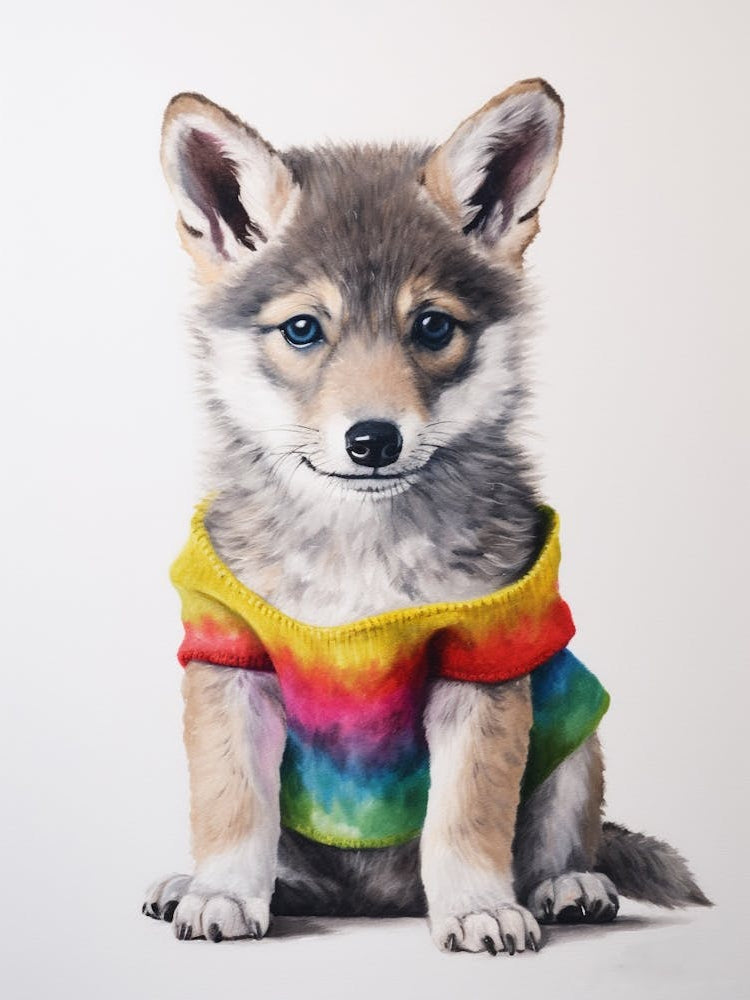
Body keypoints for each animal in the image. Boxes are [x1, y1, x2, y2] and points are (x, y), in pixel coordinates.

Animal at [142, 79, 710, 953]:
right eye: (303, 329)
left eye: (432, 327)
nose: (373, 440)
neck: (359, 553)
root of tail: (378, 901)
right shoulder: (229, 656)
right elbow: (233, 806)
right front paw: (222, 892)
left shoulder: (484, 662)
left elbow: (466, 817)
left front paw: (477, 906)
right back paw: (209, 885)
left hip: (575, 735)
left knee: (562, 838)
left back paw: (569, 886)